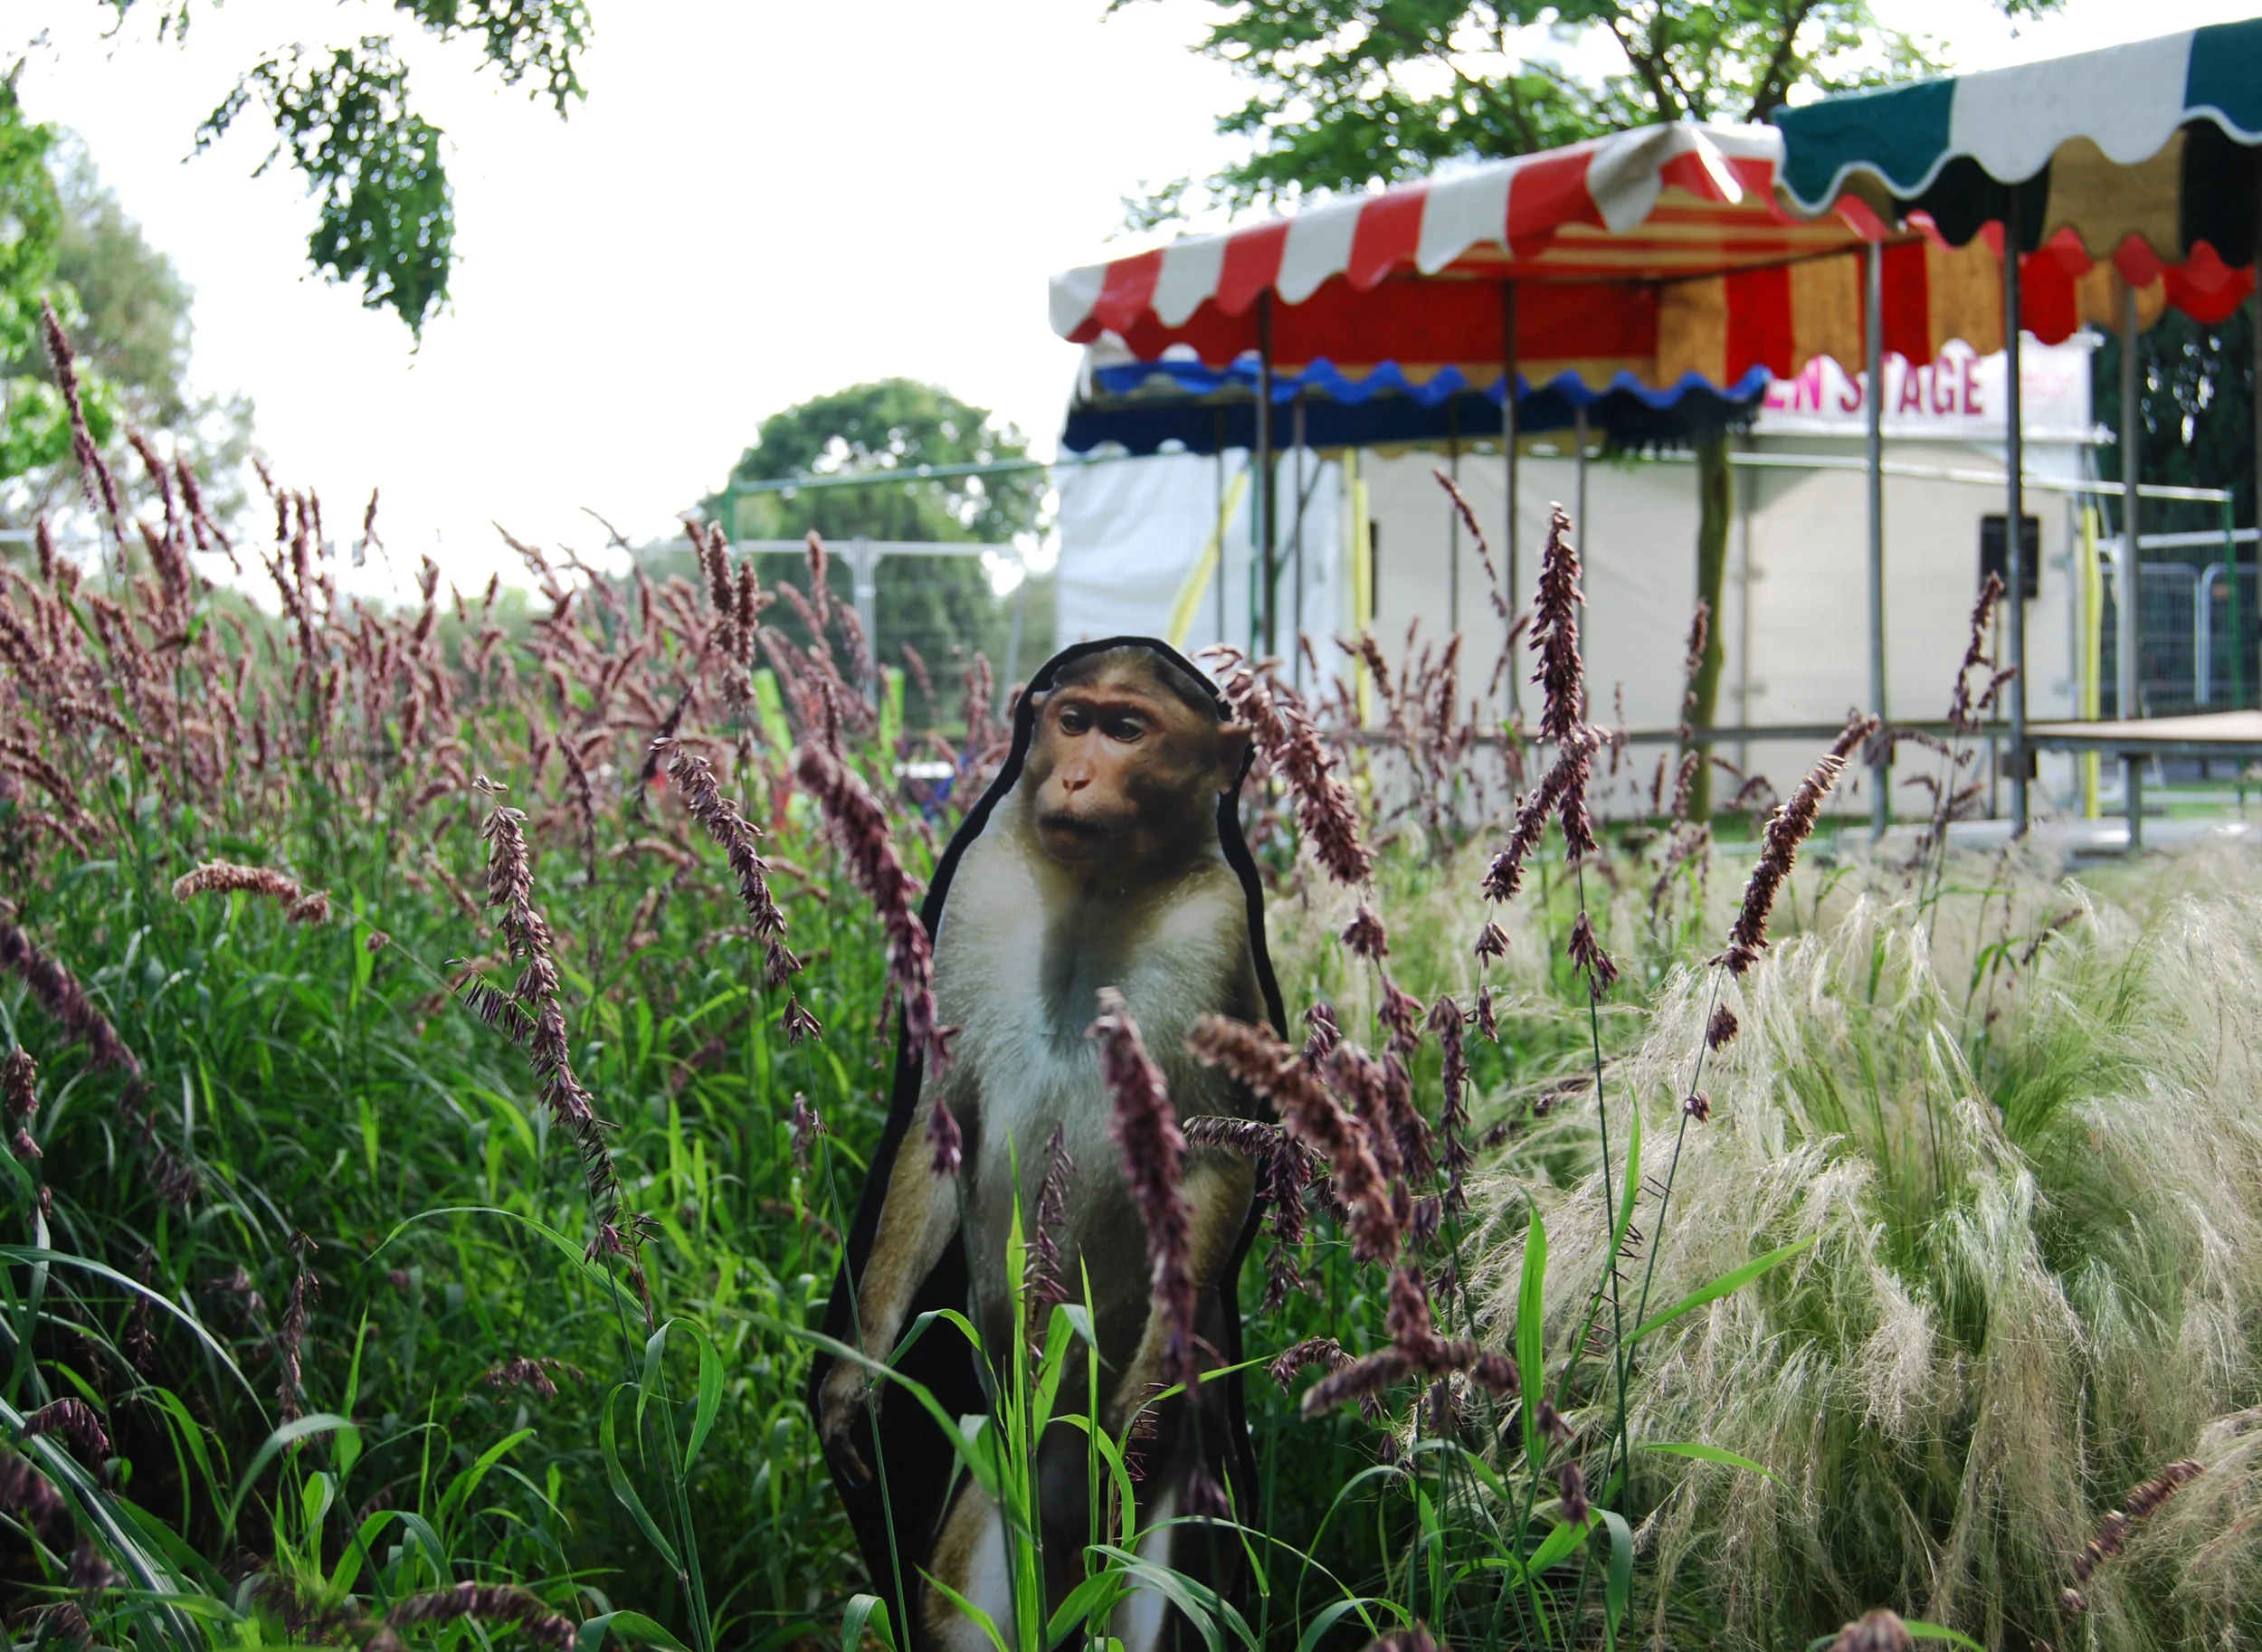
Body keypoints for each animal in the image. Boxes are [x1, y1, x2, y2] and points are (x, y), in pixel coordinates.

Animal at [810, 639, 1285, 1652]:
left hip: (1165, 1507)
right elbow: (939, 1111)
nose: (1073, 776)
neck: (1098, 892)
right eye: (1074, 719)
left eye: (1127, 729)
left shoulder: (1222, 927)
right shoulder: (977, 884)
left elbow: (1220, 1152)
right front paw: (854, 1378)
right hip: (1003, 1490)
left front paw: (1145, 1397)